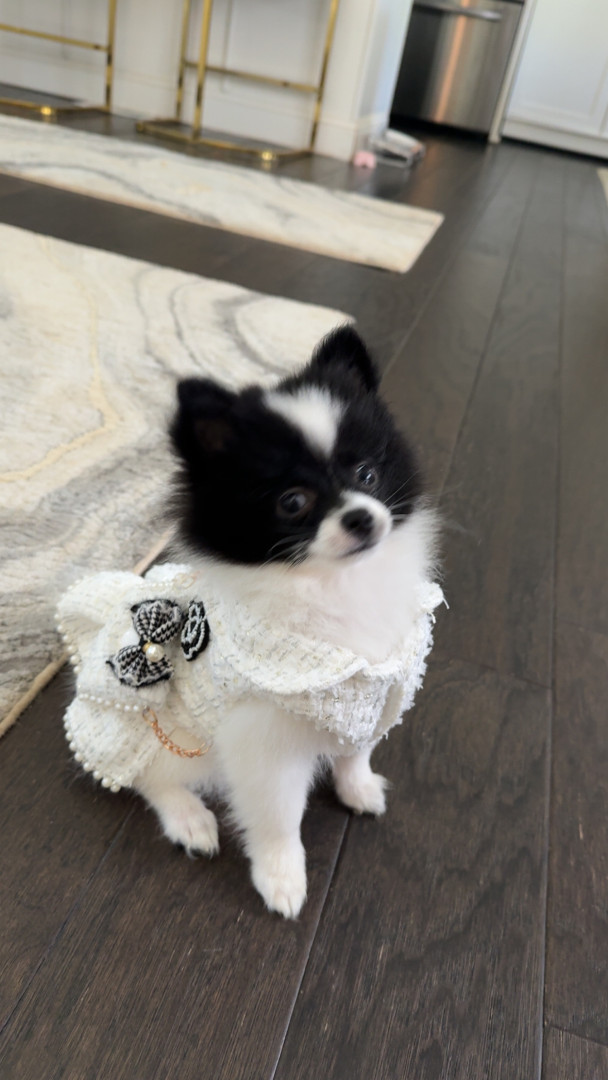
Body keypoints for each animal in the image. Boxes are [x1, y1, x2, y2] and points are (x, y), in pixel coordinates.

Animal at [59, 326, 440, 918]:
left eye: (368, 474)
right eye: (292, 501)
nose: (360, 516)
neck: (329, 586)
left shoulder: (373, 693)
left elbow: (356, 750)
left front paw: (358, 788)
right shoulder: (264, 744)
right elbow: (278, 817)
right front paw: (282, 878)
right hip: (151, 735)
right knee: (147, 776)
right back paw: (189, 819)